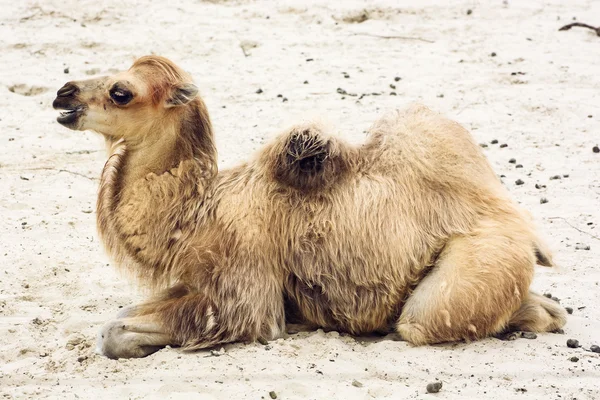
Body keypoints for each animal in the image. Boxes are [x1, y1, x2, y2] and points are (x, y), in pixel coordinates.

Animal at [52, 55, 568, 360]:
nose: (63, 93)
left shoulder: (243, 289)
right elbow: (119, 319)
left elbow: (119, 331)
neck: (197, 213)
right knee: (545, 308)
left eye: (122, 92)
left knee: (428, 320)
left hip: (474, 263)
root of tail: (528, 234)